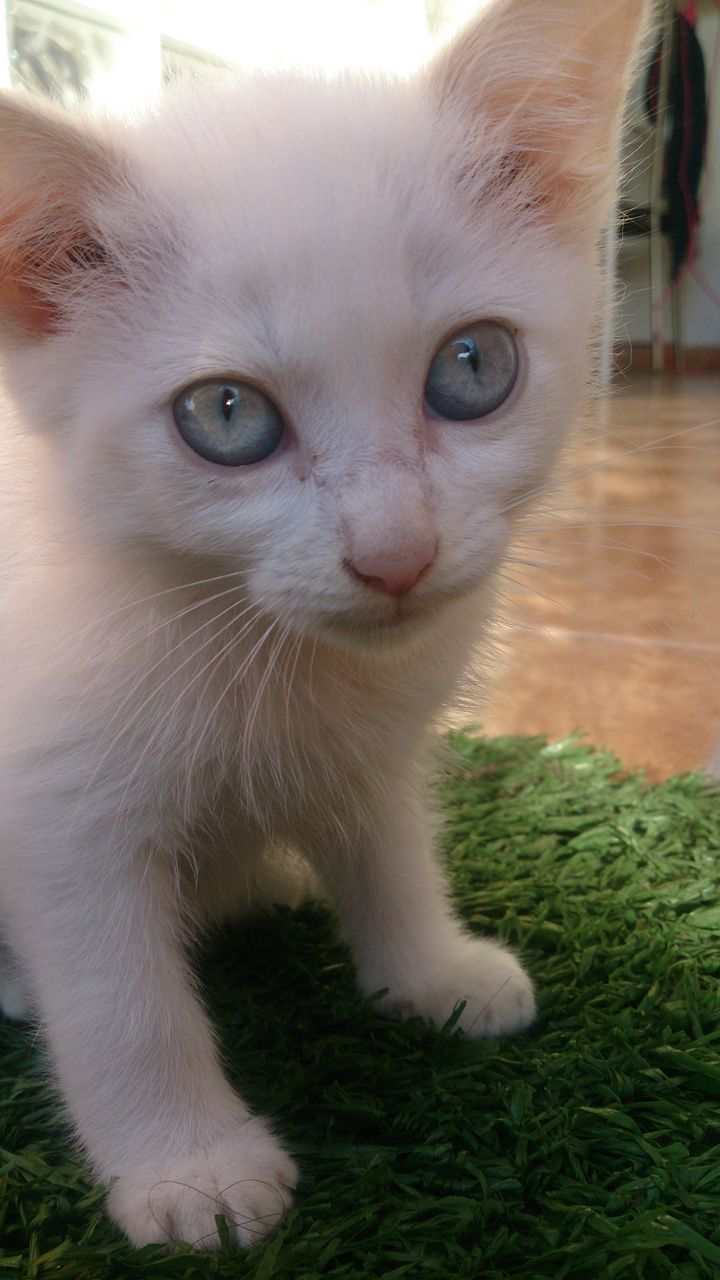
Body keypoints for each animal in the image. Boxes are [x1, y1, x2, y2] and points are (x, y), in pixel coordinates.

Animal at [0, 0, 650, 1249]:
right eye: (226, 415)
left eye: (474, 365)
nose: (395, 553)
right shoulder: (51, 799)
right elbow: (116, 992)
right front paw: (187, 1164)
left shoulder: (371, 737)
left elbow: (387, 837)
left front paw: (428, 966)